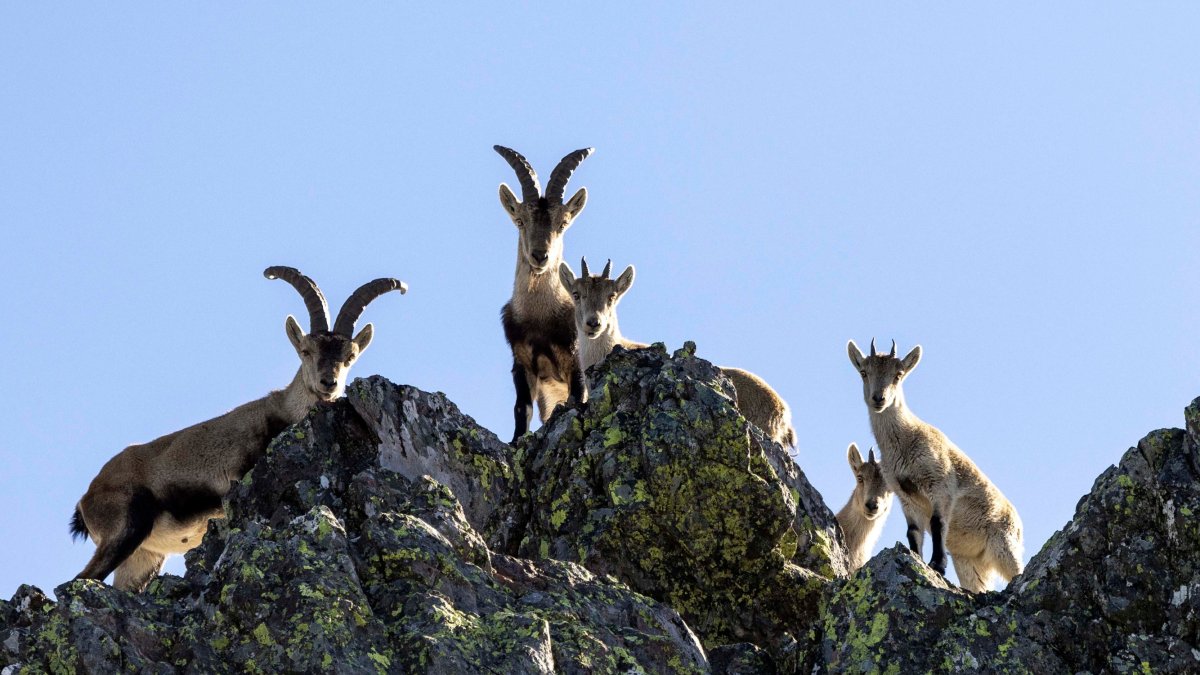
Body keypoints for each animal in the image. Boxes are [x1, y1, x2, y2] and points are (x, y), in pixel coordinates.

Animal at [70, 267, 406, 592]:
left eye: (350, 356)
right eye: (306, 350)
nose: (328, 383)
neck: (284, 409)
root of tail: (87, 497)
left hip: (143, 556)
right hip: (125, 528)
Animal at [494, 145, 593, 444]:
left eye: (562, 223)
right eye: (520, 221)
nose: (540, 256)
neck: (539, 317)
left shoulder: (575, 359)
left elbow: (577, 397)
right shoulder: (522, 364)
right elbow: (521, 409)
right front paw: (516, 442)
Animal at [847, 339, 1023, 592]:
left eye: (898, 374)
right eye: (864, 372)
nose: (879, 398)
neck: (906, 439)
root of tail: (1018, 523)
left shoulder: (940, 484)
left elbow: (938, 522)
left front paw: (937, 564)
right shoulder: (906, 497)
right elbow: (913, 533)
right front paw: (916, 559)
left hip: (1004, 545)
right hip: (970, 563)